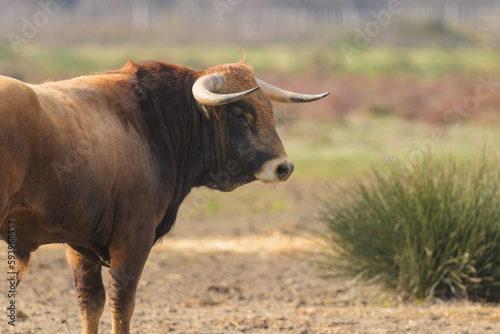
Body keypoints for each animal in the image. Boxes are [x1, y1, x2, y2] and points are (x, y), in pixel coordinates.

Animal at [0, 60, 330, 334]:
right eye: (238, 113)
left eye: (268, 109)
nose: (284, 167)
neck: (152, 122)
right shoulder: (134, 238)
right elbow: (122, 304)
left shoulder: (79, 245)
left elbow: (91, 303)